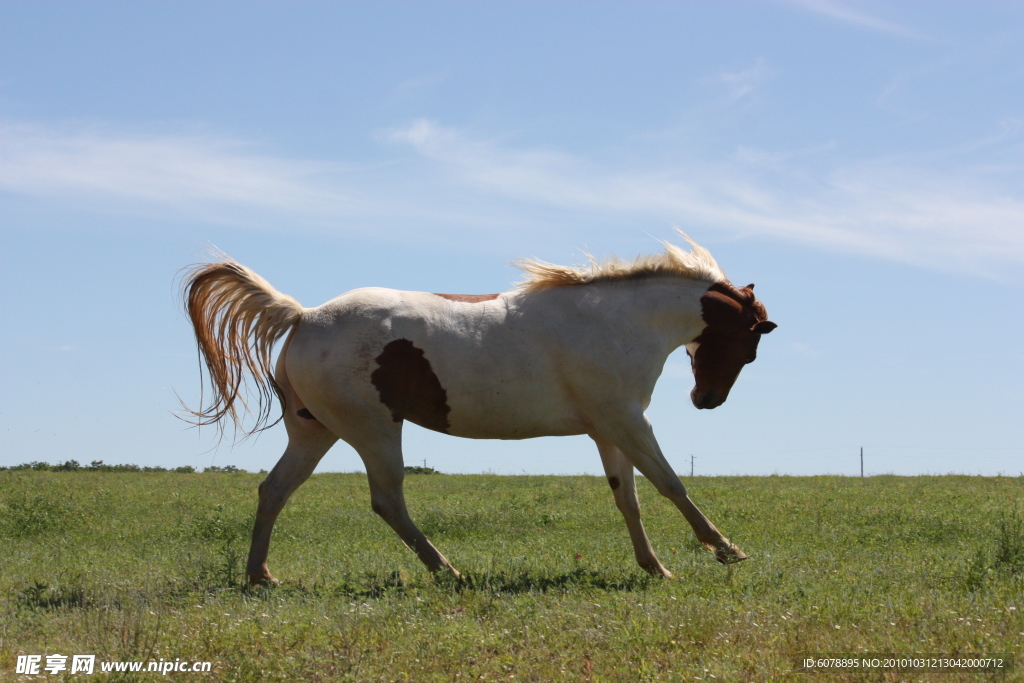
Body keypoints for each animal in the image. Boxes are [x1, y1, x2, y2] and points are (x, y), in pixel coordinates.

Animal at [184, 236, 774, 589]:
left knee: (274, 490)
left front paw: (656, 567)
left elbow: (628, 498)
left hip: (316, 434)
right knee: (386, 501)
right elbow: (671, 484)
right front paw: (727, 550)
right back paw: (448, 571)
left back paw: (261, 576)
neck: (614, 323)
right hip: (374, 432)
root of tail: (302, 316)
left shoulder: (608, 430)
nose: (707, 400)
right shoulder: (629, 422)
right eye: (749, 346)